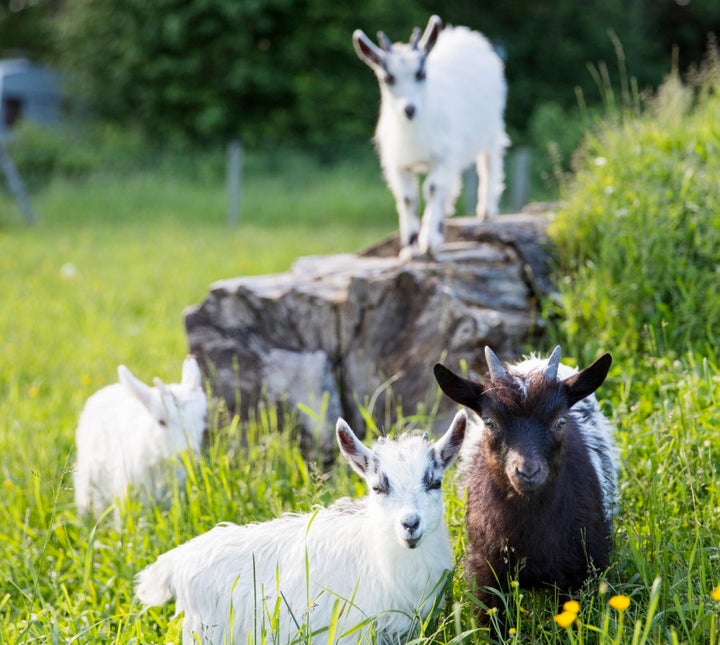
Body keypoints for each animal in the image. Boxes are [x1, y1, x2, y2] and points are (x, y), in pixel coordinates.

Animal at [352, 14, 510, 260]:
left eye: (421, 74)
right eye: (388, 78)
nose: (409, 109)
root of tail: (465, 34)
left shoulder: (444, 156)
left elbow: (433, 188)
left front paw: (430, 241)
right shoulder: (398, 164)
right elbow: (408, 199)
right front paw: (409, 247)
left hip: (491, 126)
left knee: (489, 161)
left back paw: (486, 210)